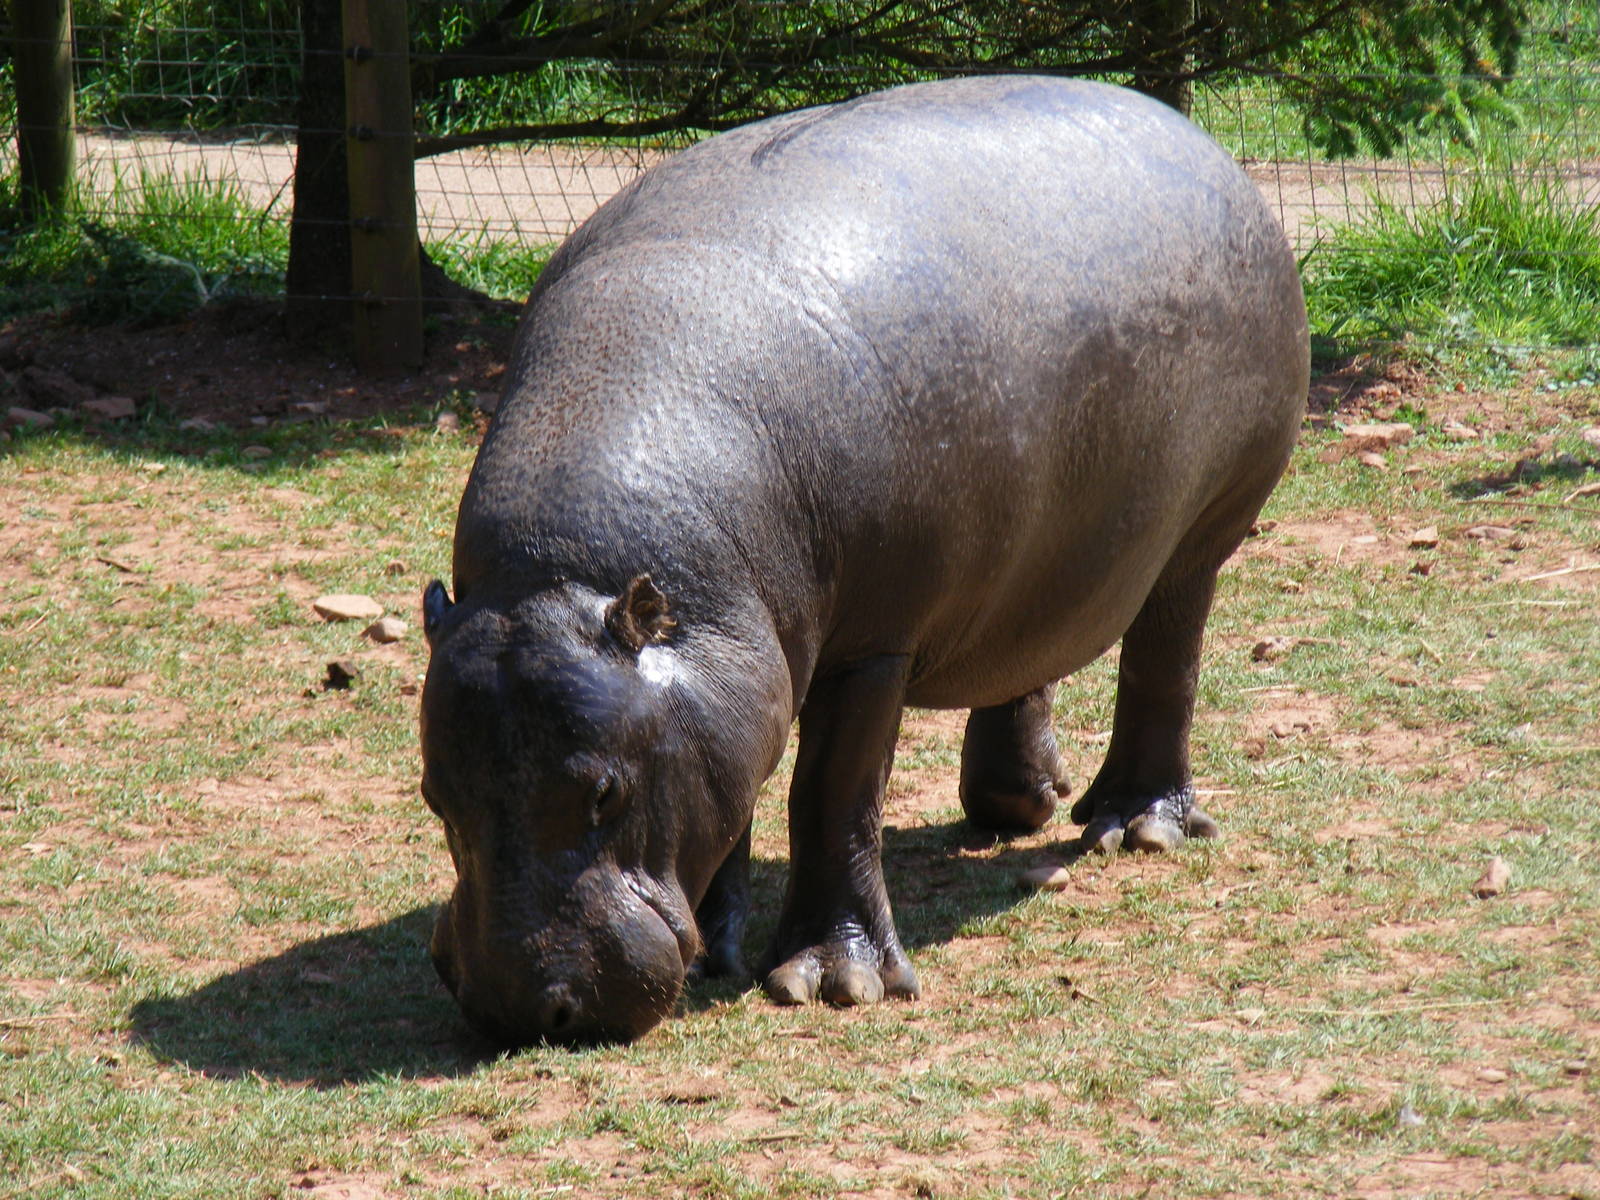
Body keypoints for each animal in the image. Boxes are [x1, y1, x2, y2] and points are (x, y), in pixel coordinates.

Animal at [419, 75, 1308, 1045]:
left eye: (606, 793)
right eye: (435, 795)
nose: (520, 1007)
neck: (565, 574)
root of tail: (1198, 139)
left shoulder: (873, 645)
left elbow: (833, 794)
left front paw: (832, 981)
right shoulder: (731, 675)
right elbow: (731, 785)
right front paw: (722, 950)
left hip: (1205, 530)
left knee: (1165, 657)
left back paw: (1133, 828)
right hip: (1041, 545)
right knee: (1025, 651)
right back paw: (1016, 803)